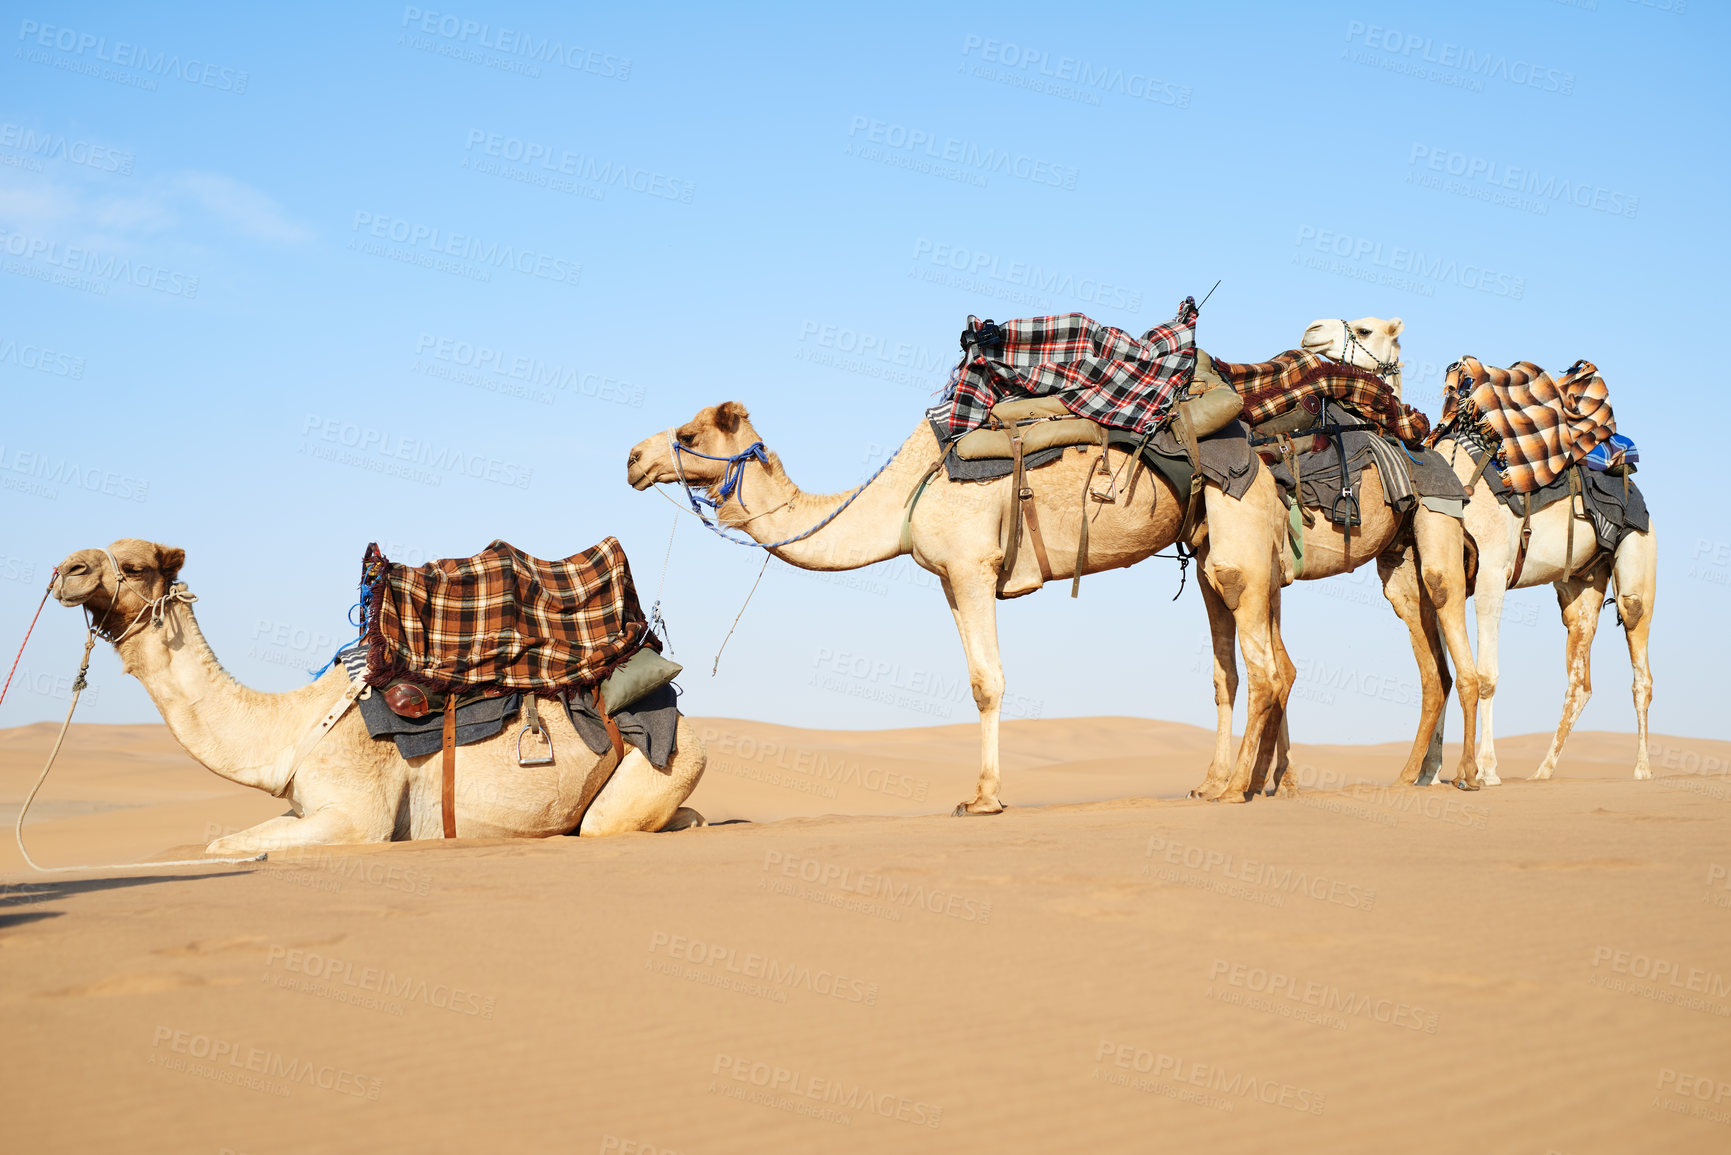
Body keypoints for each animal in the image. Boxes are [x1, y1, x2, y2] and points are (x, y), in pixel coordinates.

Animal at [49, 536, 709, 855]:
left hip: (671, 760)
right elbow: (226, 840)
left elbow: (220, 845)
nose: (67, 569)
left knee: (604, 825)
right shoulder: (305, 807)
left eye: (135, 565)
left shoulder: (357, 815)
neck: (291, 726)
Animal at [630, 401, 1294, 810]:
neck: (902, 496)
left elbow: (987, 681)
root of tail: (1261, 461)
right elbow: (975, 673)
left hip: (1237, 539)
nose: (634, 458)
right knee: (1259, 666)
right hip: (1222, 551)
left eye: (688, 436)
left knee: (1263, 665)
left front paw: (983, 797)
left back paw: (1236, 789)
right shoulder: (950, 578)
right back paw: (1232, 784)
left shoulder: (973, 566)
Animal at [1197, 320, 1481, 800]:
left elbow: (1276, 671)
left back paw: (1469, 773)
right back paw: (1408, 775)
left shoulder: (1261, 572)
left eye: (1366, 329)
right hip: (1401, 574)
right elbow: (1279, 671)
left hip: (1440, 525)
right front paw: (1271, 781)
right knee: (1433, 674)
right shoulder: (1272, 575)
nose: (1312, 330)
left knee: (1462, 658)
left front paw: (1259, 781)